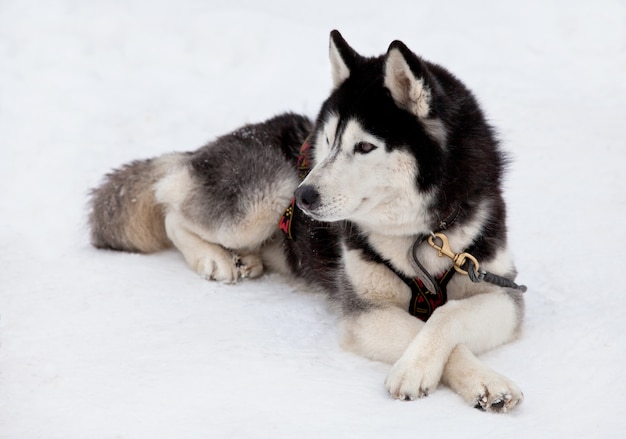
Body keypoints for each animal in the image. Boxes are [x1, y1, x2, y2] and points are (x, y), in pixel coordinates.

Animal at [90, 31, 524, 412]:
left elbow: (447, 315)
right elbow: (424, 328)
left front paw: (485, 382)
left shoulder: (500, 291)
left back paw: (245, 258)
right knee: (171, 205)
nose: (304, 197)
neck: (420, 237)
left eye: (364, 146)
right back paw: (213, 258)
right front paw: (425, 371)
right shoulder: (365, 310)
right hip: (262, 198)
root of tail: (220, 142)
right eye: (328, 140)